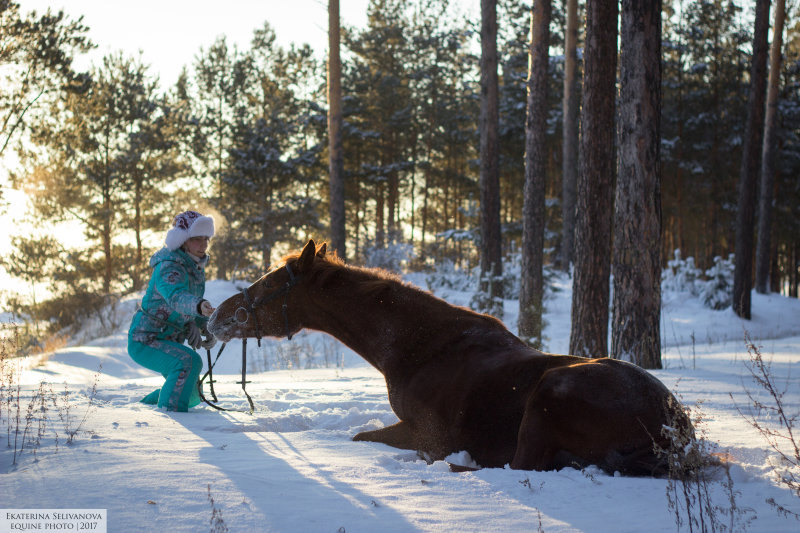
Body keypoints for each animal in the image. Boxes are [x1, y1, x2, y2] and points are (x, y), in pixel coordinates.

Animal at [209, 240, 692, 474]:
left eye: (270, 285)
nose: (215, 317)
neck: (420, 348)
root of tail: (674, 426)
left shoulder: (427, 434)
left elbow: (362, 439)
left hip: (549, 397)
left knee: (517, 467)